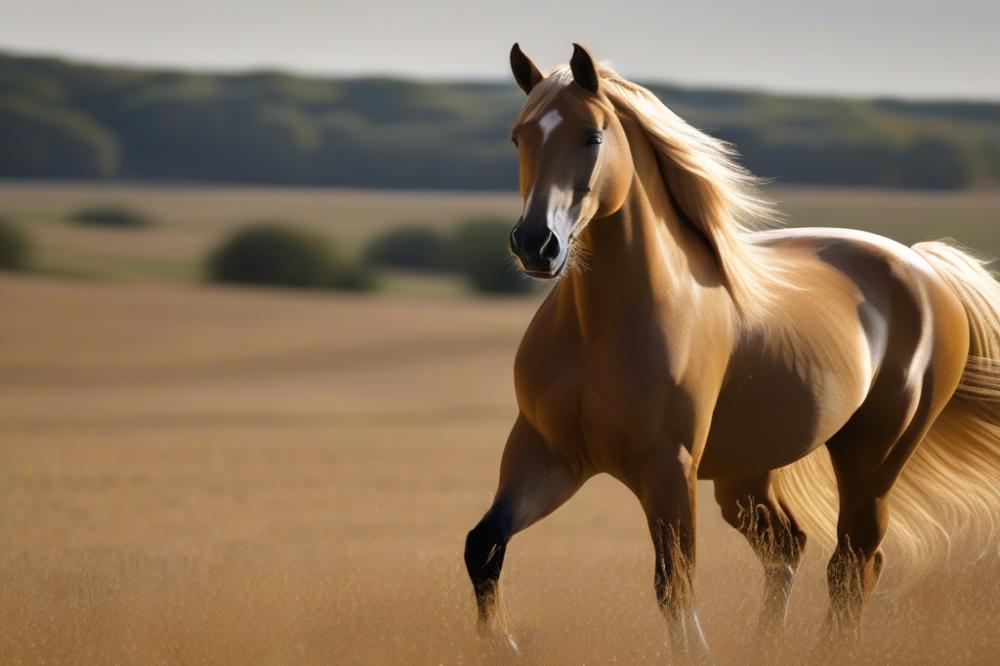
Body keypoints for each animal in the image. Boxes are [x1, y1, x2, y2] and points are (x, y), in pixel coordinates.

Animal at [464, 44, 1000, 656]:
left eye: (592, 135)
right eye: (519, 136)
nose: (536, 245)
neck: (600, 326)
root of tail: (923, 265)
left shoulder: (666, 467)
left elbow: (675, 587)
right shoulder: (548, 454)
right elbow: (483, 547)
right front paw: (506, 645)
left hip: (874, 455)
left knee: (853, 563)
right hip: (746, 474)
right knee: (791, 547)